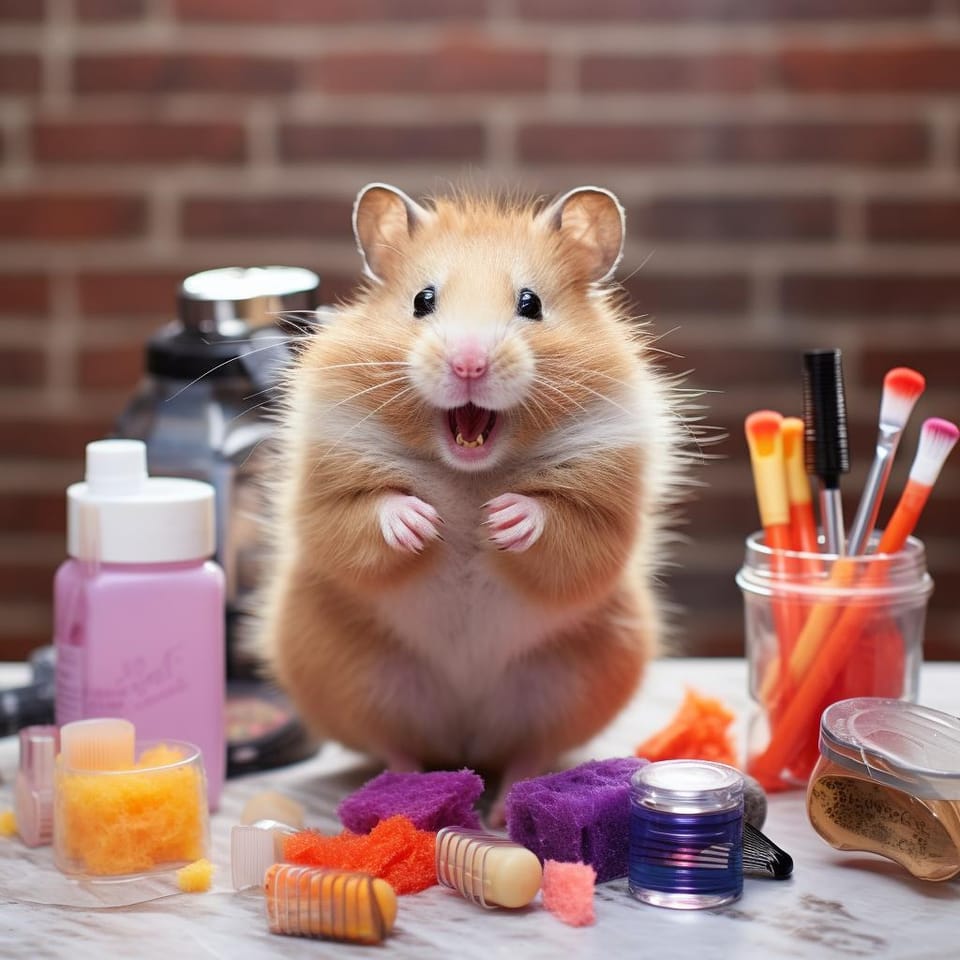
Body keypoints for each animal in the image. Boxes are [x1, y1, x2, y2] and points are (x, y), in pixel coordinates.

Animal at [257, 183, 686, 817]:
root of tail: (465, 745)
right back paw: (406, 790)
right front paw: (421, 521)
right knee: (395, 747)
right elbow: (363, 515)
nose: (468, 363)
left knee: (529, 753)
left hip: (566, 688)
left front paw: (503, 520)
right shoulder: (325, 493)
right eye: (422, 300)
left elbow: (565, 527)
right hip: (357, 679)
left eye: (531, 303)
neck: (469, 474)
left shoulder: (606, 509)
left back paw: (508, 808)